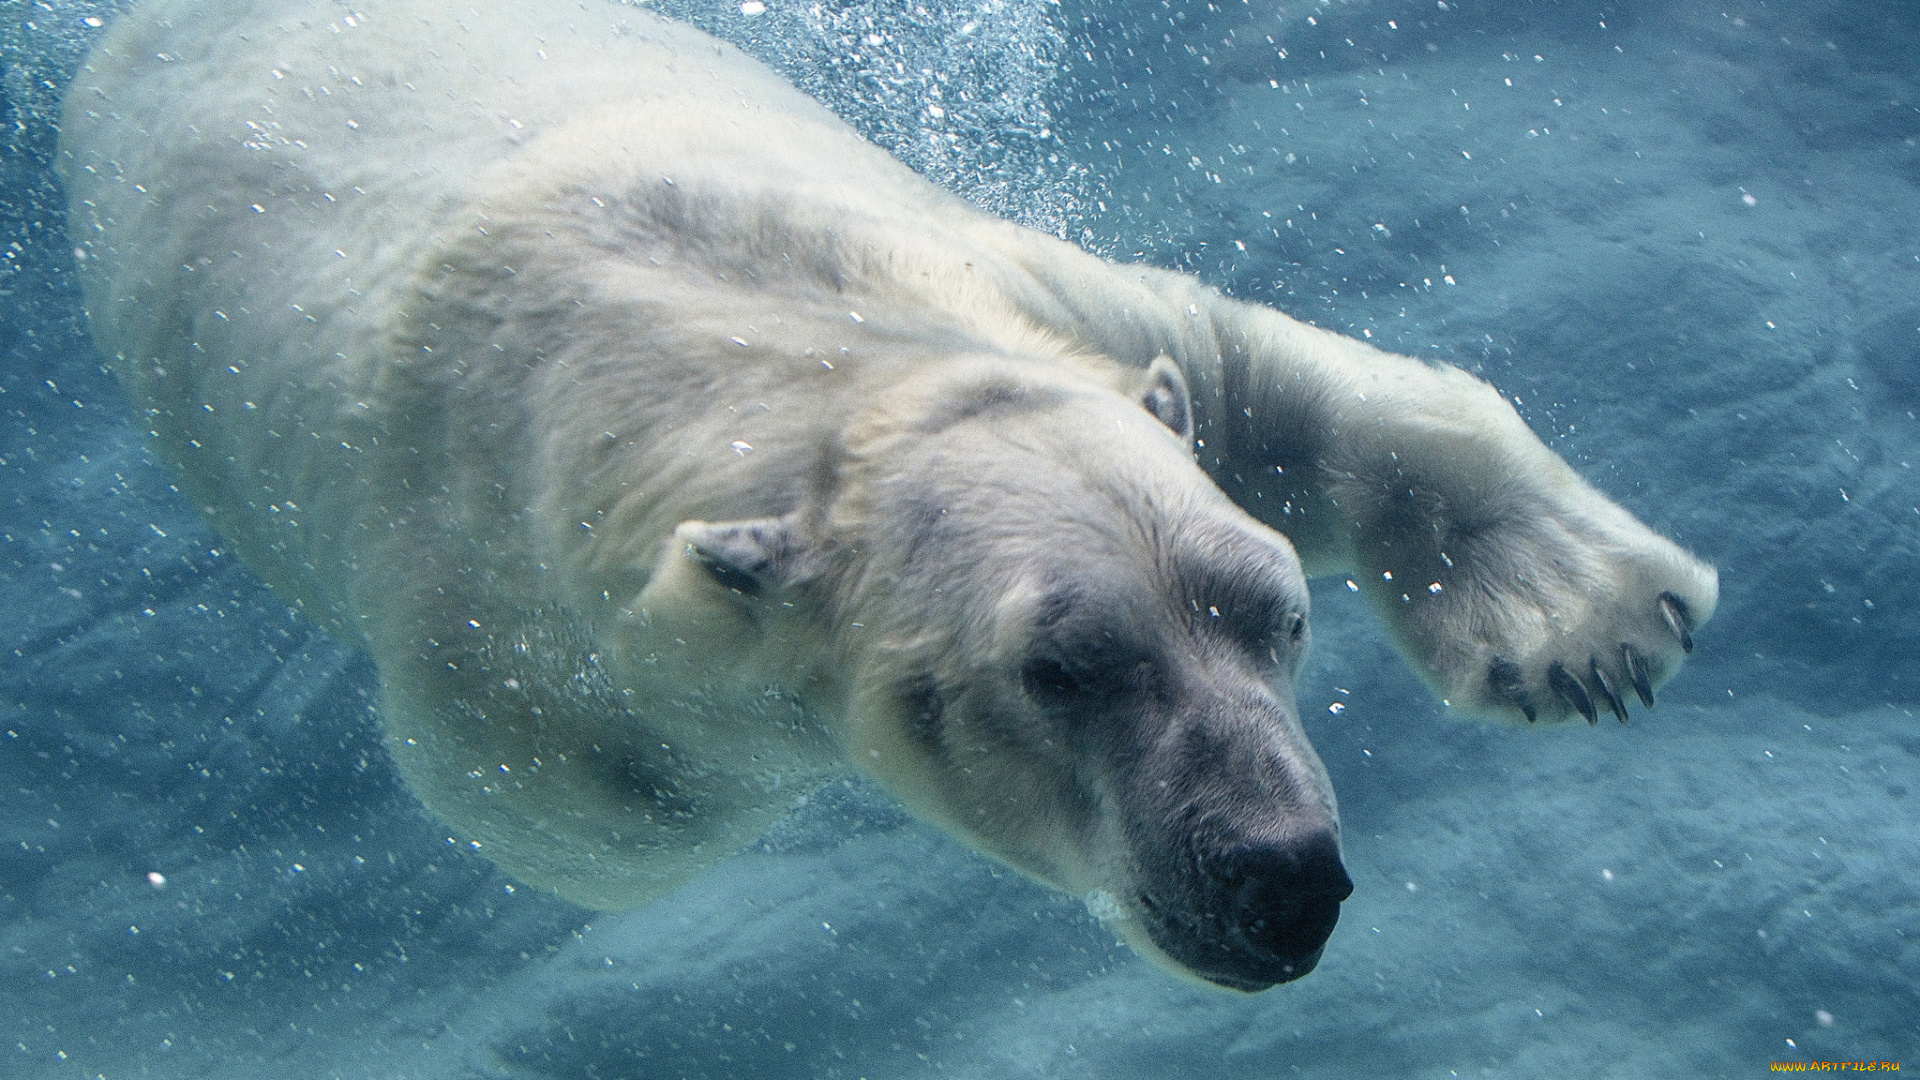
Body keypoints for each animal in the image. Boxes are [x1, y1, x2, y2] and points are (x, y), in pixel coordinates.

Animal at [60, 0, 1712, 983]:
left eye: (1277, 614)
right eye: (1056, 671)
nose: (1280, 876)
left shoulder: (1030, 300)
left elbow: (1266, 370)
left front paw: (1584, 625)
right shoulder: (512, 686)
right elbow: (604, 805)